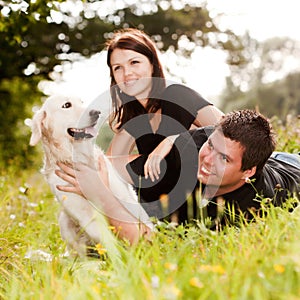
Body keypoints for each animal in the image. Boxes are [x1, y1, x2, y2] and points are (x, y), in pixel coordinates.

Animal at [29, 95, 151, 256]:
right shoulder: (86, 216)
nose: (96, 112)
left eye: (81, 102)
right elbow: (107, 240)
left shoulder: (125, 198)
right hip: (64, 220)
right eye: (66, 105)